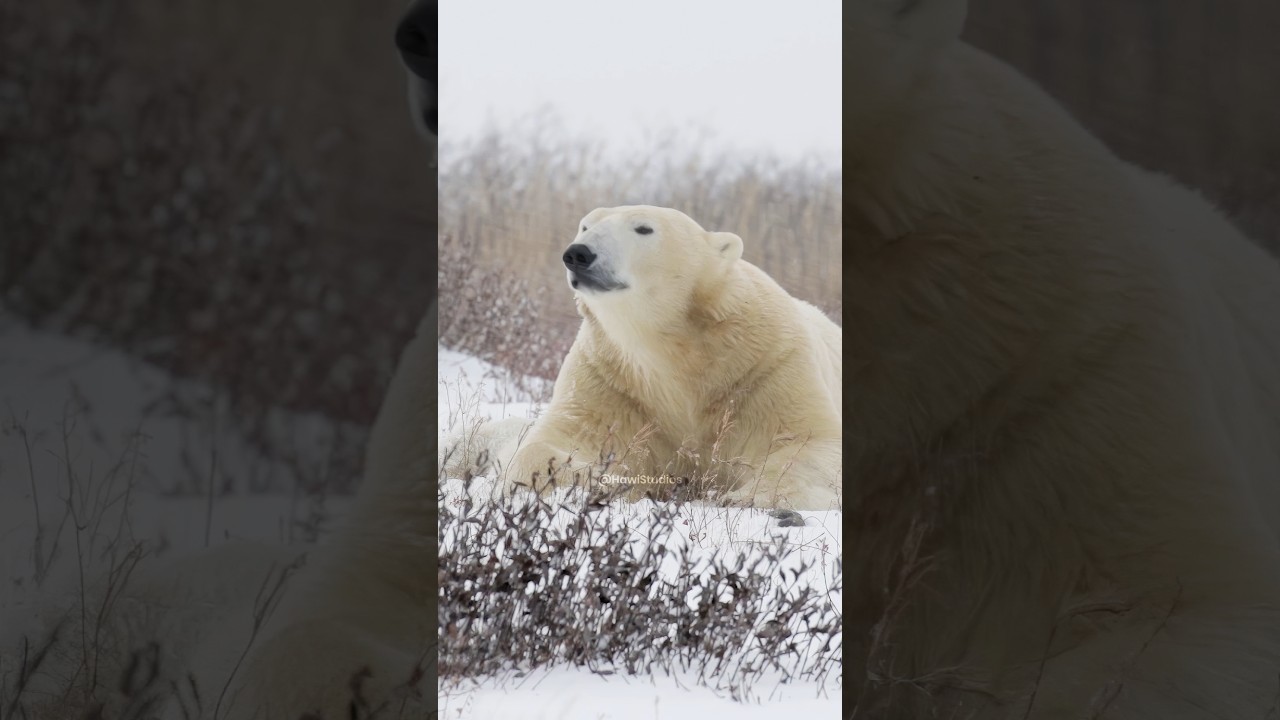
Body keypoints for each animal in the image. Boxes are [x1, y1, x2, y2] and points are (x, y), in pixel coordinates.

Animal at [448, 205, 843, 513]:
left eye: (643, 228)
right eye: (586, 225)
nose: (578, 253)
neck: (674, 348)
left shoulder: (766, 366)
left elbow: (808, 443)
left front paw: (749, 497)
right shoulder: (614, 381)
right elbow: (561, 441)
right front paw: (597, 481)